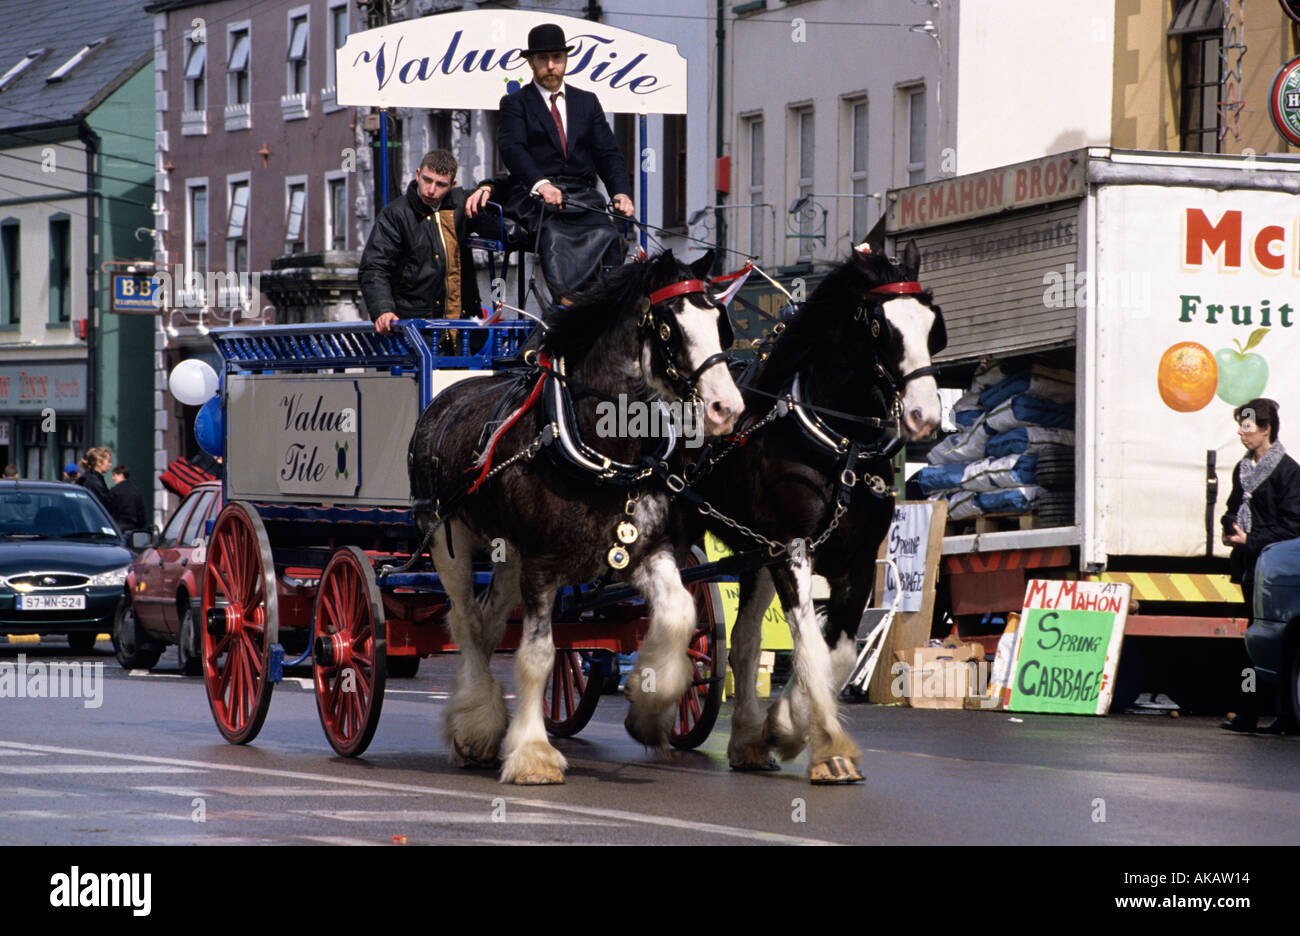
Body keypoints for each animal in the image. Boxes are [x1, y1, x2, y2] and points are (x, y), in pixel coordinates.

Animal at [410, 252, 748, 785]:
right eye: (670, 328)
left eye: (720, 324)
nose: (727, 408)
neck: (602, 451)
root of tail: (446, 397)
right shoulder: (542, 566)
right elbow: (537, 655)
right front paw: (532, 754)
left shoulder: (643, 552)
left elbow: (678, 614)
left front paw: (650, 707)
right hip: (447, 537)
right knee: (464, 620)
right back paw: (475, 726)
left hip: (507, 552)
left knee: (487, 623)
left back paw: (481, 725)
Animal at [686, 239, 951, 780]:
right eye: (882, 326)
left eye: (931, 324)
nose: (925, 416)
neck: (837, 446)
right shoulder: (790, 552)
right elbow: (809, 643)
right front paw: (826, 747)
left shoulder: (854, 562)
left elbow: (839, 653)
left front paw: (785, 727)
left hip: (754, 557)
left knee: (745, 641)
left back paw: (746, 741)